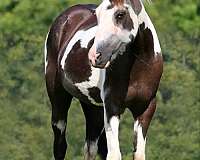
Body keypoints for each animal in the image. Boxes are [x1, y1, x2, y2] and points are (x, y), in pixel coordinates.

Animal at [44, 0, 163, 159]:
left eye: (120, 14)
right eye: (98, 15)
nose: (94, 56)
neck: (139, 65)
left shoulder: (146, 108)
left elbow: (138, 154)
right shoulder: (112, 107)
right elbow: (114, 154)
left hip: (94, 107)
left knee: (90, 147)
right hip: (58, 99)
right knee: (60, 145)